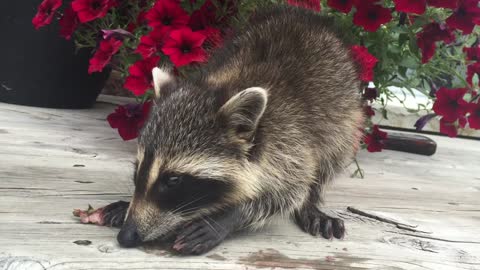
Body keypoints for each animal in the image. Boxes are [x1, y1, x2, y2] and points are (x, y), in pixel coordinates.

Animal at [98, 5, 364, 255]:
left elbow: (287, 192)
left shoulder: (291, 142)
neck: (224, 85)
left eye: (173, 180)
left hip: (345, 117)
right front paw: (128, 204)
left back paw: (311, 201)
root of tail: (305, 14)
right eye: (138, 170)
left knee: (330, 157)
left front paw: (227, 217)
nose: (126, 236)